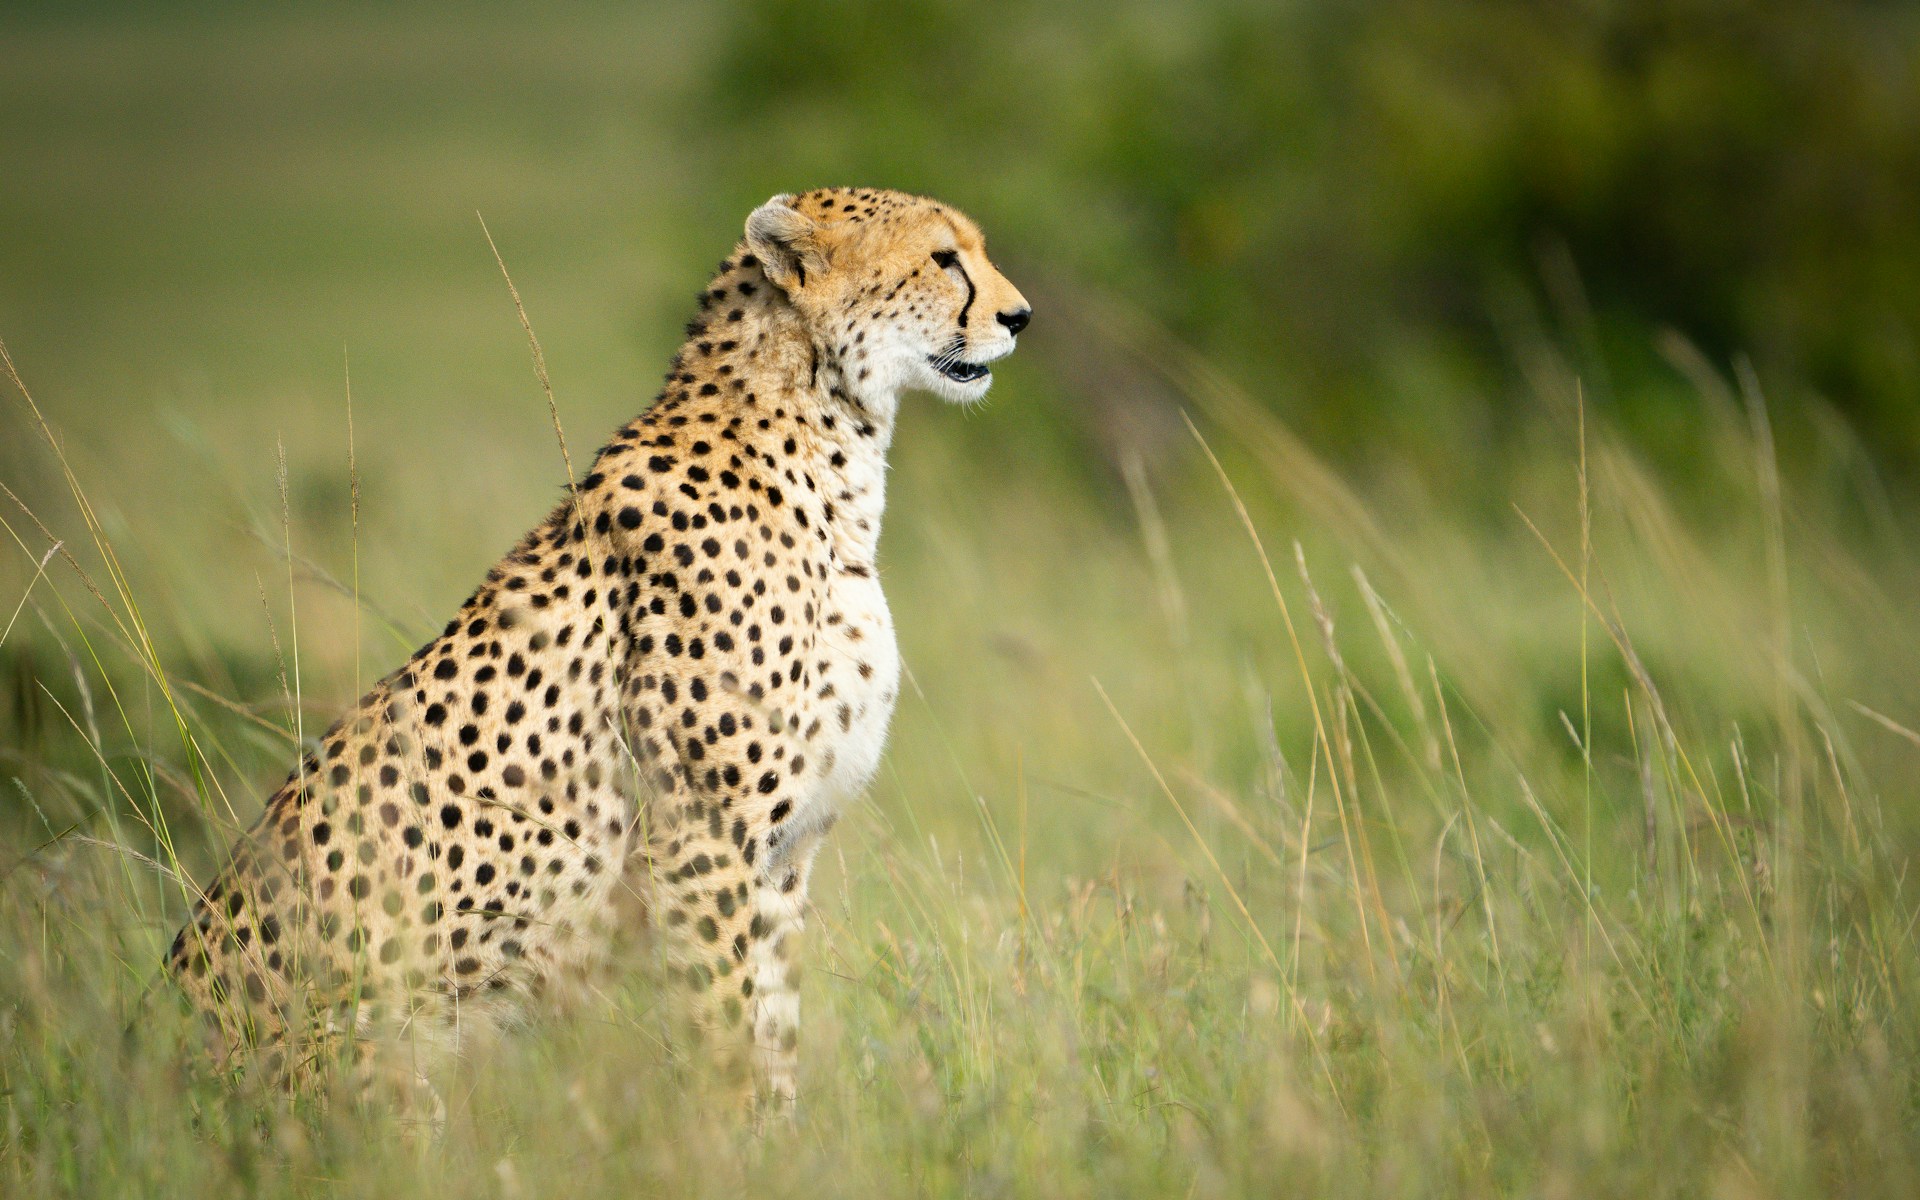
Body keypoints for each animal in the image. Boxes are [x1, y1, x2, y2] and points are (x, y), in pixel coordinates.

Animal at [161, 187, 1036, 1113]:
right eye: (943, 258)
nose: (1020, 317)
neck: (826, 442)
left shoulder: (783, 856)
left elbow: (773, 1035)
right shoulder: (700, 842)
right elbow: (725, 1030)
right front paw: (727, 1134)